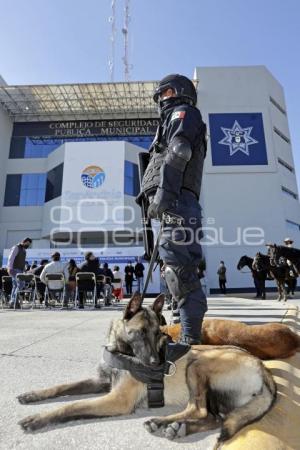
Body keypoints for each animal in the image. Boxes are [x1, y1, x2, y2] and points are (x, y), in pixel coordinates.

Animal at [18, 294, 276, 448]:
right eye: (141, 332)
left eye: (159, 333)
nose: (155, 363)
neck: (122, 351)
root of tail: (264, 370)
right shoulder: (101, 381)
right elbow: (62, 387)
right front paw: (32, 395)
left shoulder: (116, 400)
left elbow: (71, 406)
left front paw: (37, 418)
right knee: (214, 418)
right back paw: (180, 427)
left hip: (197, 364)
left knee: (198, 409)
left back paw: (159, 422)